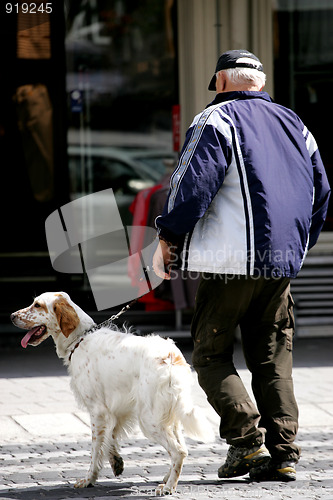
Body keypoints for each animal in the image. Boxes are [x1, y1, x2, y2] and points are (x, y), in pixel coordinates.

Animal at [10, 292, 214, 494]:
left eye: (37, 305)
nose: (11, 316)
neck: (79, 339)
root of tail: (172, 357)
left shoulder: (97, 411)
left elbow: (95, 449)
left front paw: (89, 479)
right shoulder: (118, 409)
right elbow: (110, 440)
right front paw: (116, 462)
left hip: (149, 419)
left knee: (179, 451)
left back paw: (169, 487)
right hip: (170, 416)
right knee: (181, 447)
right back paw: (166, 479)